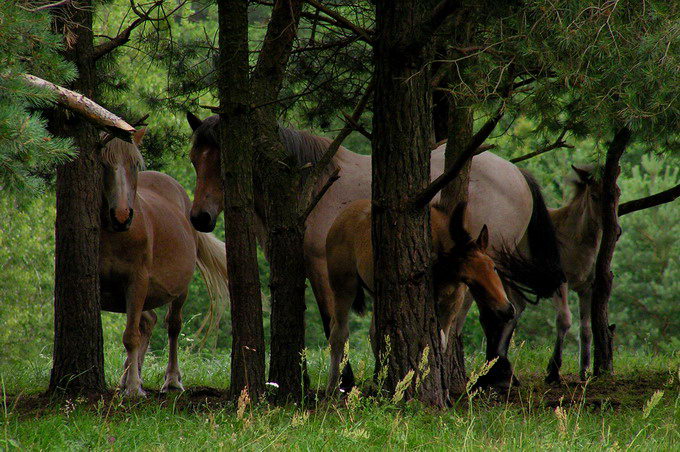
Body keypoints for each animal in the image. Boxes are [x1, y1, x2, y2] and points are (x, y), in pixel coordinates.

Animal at [99, 132, 230, 398]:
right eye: (103, 164)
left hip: (178, 290)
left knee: (172, 326)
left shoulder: (136, 281)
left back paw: (171, 380)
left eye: (135, 165)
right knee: (148, 321)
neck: (116, 235)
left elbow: (131, 336)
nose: (122, 215)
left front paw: (133, 388)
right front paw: (132, 382)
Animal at [322, 200, 510, 392]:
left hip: (376, 292)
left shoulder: (451, 307)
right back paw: (333, 387)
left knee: (373, 332)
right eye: (469, 279)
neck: (447, 273)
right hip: (343, 285)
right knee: (339, 332)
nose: (506, 309)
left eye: (494, 267)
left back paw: (378, 379)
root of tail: (338, 220)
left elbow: (441, 343)